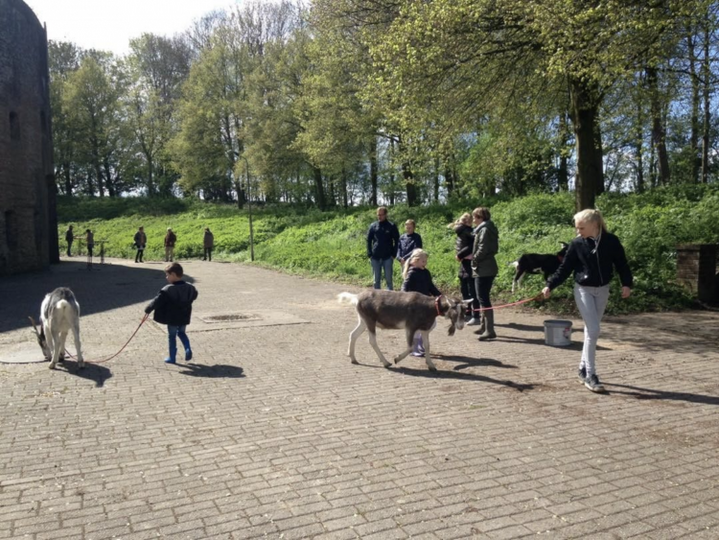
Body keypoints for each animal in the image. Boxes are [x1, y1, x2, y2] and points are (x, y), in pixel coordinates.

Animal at [336, 292, 470, 372]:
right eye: (455, 310)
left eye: (464, 311)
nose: (461, 326)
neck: (430, 307)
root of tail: (357, 298)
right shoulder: (410, 326)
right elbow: (410, 347)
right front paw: (397, 358)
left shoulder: (424, 329)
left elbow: (427, 346)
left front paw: (431, 365)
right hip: (370, 321)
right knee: (372, 340)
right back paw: (386, 362)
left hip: (363, 320)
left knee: (353, 334)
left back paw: (353, 358)